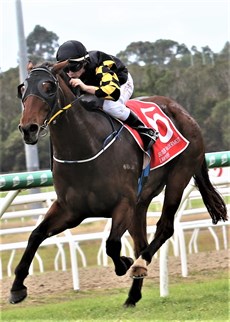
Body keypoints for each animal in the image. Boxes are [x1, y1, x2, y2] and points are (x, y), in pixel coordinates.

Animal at [10, 61, 226, 306]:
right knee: (141, 241)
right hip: (141, 203)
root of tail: (181, 110)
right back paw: (132, 296)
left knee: (165, 227)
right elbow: (36, 235)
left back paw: (139, 264)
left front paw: (125, 263)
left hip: (179, 176)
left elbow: (112, 244)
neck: (85, 147)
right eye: (22, 88)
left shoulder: (123, 204)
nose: (28, 128)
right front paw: (17, 288)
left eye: (49, 87)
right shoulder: (70, 210)